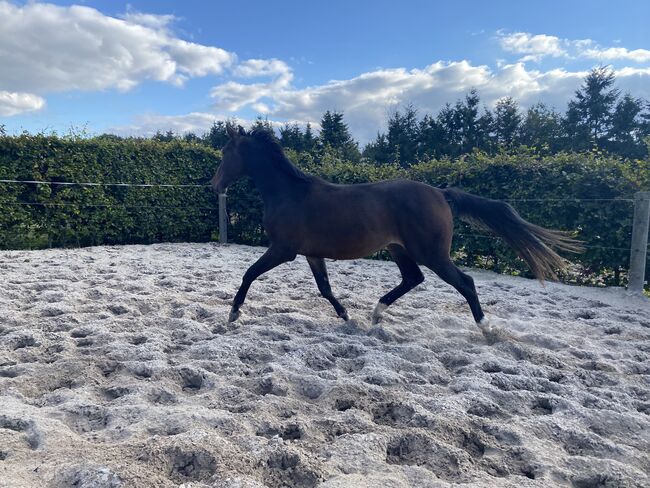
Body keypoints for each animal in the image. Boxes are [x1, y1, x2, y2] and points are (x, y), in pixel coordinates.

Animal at [210, 127, 576, 330]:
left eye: (226, 152)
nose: (215, 185)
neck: (290, 194)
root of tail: (441, 193)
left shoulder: (283, 250)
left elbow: (248, 274)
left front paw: (232, 315)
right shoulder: (311, 254)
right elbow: (325, 289)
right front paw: (348, 318)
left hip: (431, 252)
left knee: (465, 282)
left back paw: (486, 329)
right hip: (400, 248)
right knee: (413, 278)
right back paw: (375, 315)